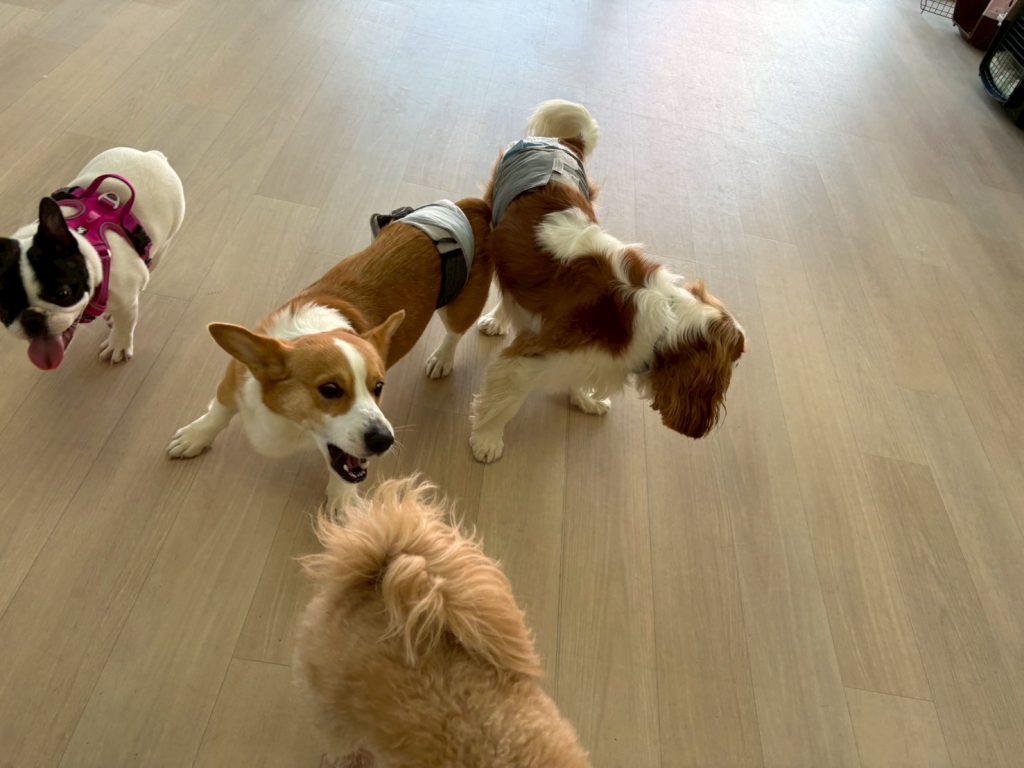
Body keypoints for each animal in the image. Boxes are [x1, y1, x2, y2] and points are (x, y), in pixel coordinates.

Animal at [0, 147, 185, 369]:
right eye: (3, 305)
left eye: (63, 294)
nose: (32, 319)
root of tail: (150, 155)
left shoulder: (125, 298)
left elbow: (126, 321)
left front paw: (118, 344)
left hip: (163, 243)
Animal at [167, 199, 492, 518]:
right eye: (330, 390)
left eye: (378, 387)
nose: (384, 440)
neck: (289, 420)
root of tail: (470, 204)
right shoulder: (234, 379)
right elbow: (218, 413)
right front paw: (195, 437)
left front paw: (342, 498)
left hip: (460, 308)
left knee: (454, 333)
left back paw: (443, 358)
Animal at [469, 100, 746, 463]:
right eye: (736, 357)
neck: (665, 325)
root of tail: (561, 142)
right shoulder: (532, 358)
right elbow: (505, 404)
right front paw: (486, 441)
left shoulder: (587, 358)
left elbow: (577, 377)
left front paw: (584, 400)